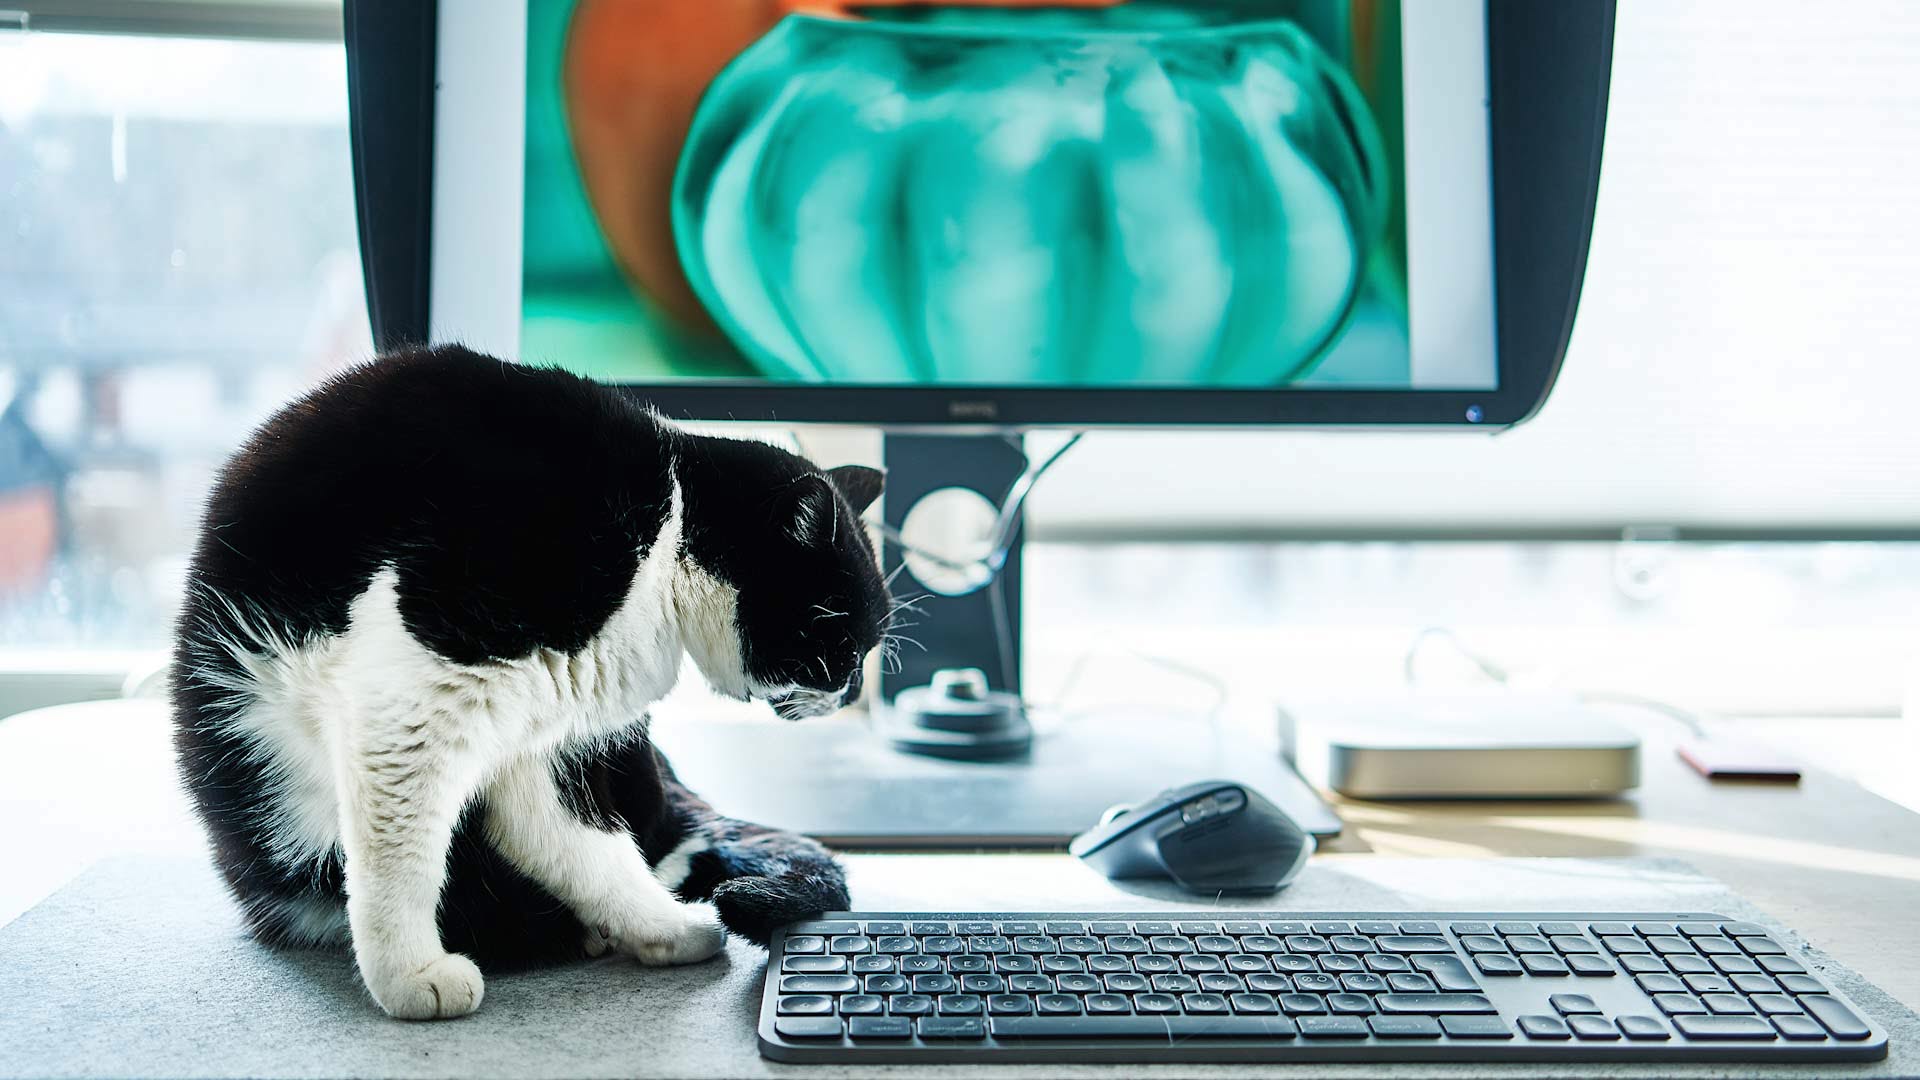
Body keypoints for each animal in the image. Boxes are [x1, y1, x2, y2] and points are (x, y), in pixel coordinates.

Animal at [168, 345, 887, 1014]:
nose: (852, 690)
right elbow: (401, 852)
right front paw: (410, 974)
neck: (671, 524)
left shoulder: (544, 734)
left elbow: (580, 846)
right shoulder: (423, 685)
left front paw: (664, 930)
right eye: (839, 636)